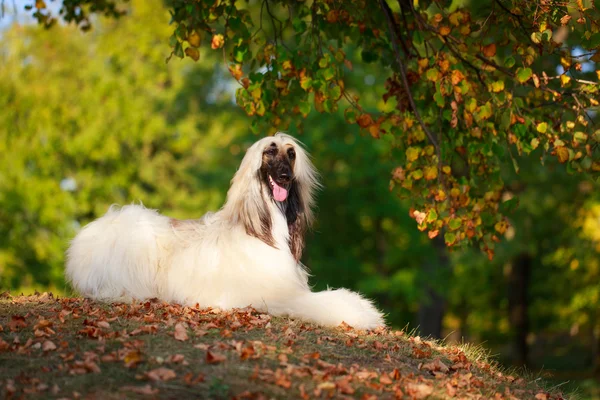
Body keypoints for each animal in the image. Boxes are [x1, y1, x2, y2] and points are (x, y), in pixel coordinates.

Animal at [65, 133, 384, 330]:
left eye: (291, 154)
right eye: (270, 151)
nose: (285, 177)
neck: (264, 227)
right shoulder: (274, 295)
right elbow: (321, 302)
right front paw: (363, 311)